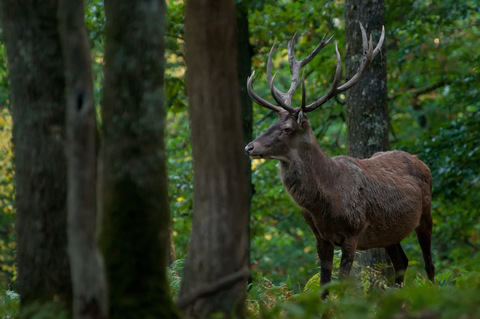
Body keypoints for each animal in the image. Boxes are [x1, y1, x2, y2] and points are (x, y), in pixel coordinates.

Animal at [244, 21, 436, 294]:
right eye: (273, 122)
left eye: (287, 129)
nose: (250, 147)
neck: (324, 200)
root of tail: (421, 161)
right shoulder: (320, 238)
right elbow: (324, 287)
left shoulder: (352, 232)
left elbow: (342, 286)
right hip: (389, 231)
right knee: (402, 262)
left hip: (426, 213)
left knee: (429, 263)